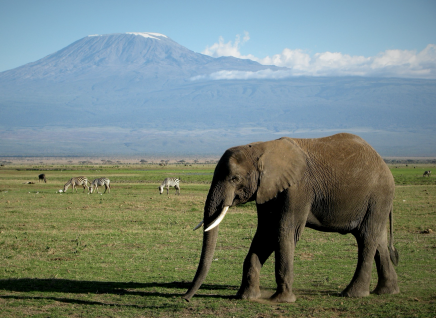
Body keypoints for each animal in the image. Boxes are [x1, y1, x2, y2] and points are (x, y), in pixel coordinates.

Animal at [182, 133, 400, 302]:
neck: (263, 148)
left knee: (367, 239)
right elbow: (265, 234)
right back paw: (387, 291)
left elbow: (284, 232)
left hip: (378, 196)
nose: (185, 298)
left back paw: (353, 294)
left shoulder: (298, 189)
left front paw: (283, 300)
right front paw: (246, 297)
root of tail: (383, 163)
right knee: (378, 240)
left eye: (234, 179)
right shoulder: (267, 190)